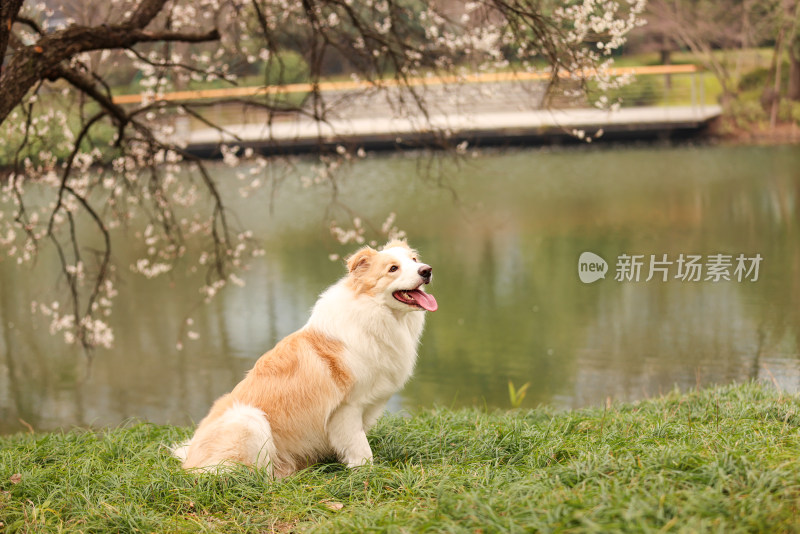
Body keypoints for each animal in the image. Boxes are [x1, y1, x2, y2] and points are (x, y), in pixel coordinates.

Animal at [172, 240, 438, 478]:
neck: (373, 311)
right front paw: (366, 474)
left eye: (414, 260)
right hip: (249, 419)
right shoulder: (347, 408)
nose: (427, 270)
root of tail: (190, 461)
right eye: (393, 268)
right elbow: (361, 448)